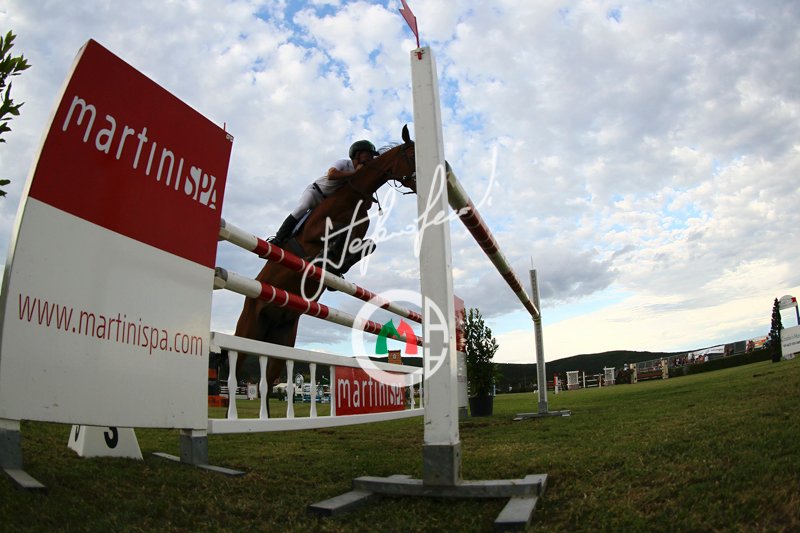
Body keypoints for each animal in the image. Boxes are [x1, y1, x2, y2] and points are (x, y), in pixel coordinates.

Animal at [232, 125, 417, 394]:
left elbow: (366, 246)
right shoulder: (315, 230)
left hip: (282, 338)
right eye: (412, 155)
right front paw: (323, 257)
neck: (353, 196)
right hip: (249, 328)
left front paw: (336, 269)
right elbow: (334, 235)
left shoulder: (358, 235)